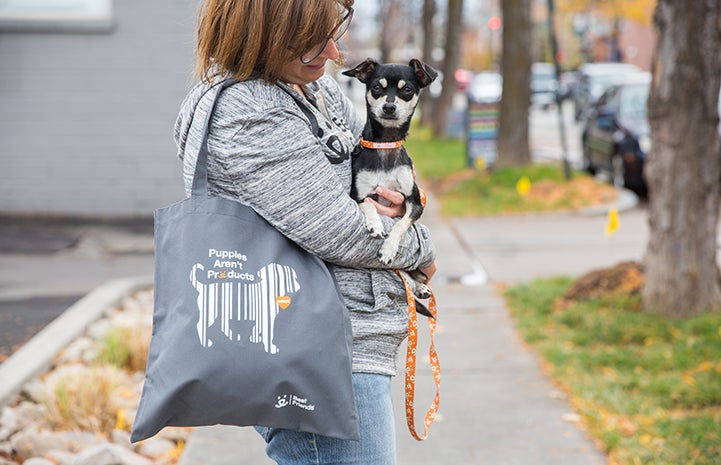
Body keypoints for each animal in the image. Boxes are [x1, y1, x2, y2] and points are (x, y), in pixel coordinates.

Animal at [344, 57, 438, 312]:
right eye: (377, 87)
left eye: (407, 90)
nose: (389, 107)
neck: (384, 145)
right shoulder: (357, 195)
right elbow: (368, 204)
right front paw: (375, 224)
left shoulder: (414, 202)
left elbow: (401, 225)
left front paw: (388, 249)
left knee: (411, 273)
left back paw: (420, 286)